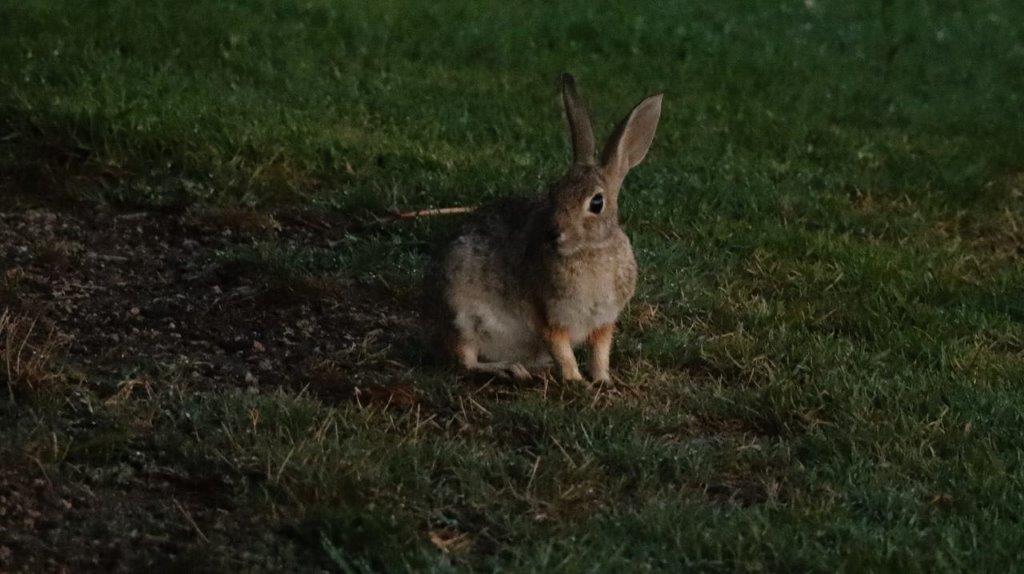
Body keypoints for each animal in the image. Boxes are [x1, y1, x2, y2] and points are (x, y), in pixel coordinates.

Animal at [421, 73, 663, 382]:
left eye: (596, 203)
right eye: (554, 191)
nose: (553, 232)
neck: (590, 251)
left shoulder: (604, 321)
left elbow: (599, 352)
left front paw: (602, 380)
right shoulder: (547, 314)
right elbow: (562, 350)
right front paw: (576, 380)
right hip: (460, 314)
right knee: (465, 360)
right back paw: (513, 369)